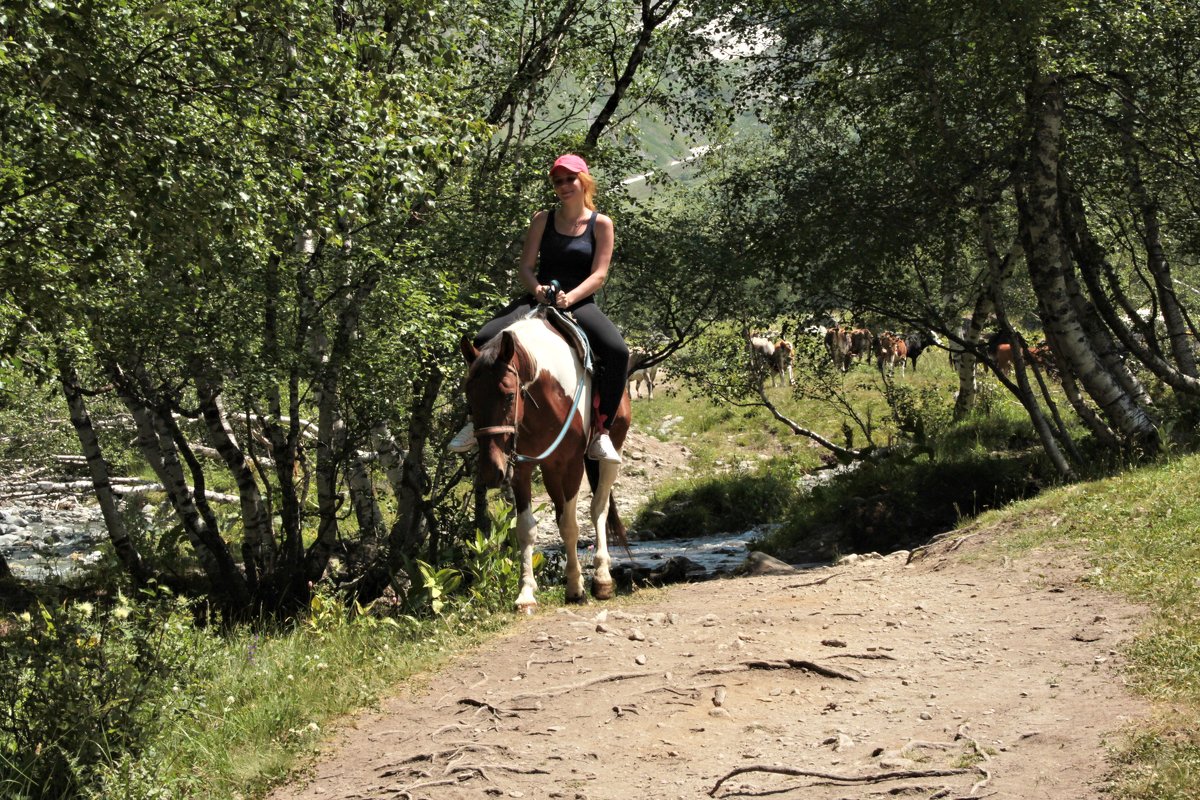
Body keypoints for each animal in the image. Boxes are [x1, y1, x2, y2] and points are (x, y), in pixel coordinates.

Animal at [458, 314, 633, 614]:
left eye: (508, 395)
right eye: (470, 400)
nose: (492, 472)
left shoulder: (572, 464)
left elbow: (571, 526)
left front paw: (575, 589)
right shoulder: (521, 468)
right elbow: (526, 529)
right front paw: (526, 594)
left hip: (610, 453)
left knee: (599, 507)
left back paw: (601, 578)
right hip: (550, 469)